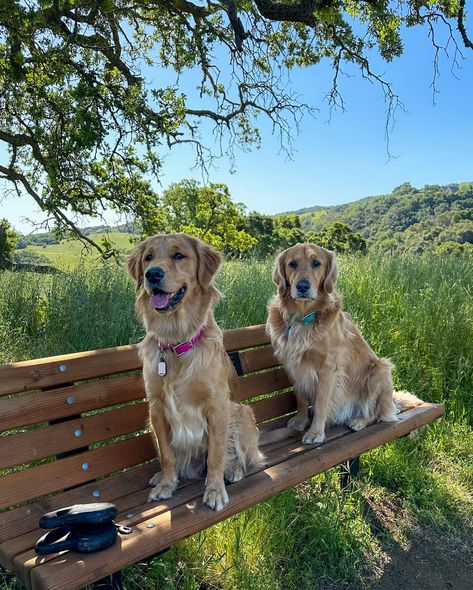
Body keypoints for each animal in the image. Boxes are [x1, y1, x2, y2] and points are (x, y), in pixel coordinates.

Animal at [127, 234, 272, 512]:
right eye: (148, 257)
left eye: (178, 255)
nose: (152, 274)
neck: (176, 343)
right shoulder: (156, 408)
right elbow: (167, 456)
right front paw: (167, 484)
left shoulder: (217, 406)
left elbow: (216, 455)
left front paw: (214, 490)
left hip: (242, 413)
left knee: (239, 456)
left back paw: (233, 471)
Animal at [266, 244, 420, 444]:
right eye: (292, 264)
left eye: (316, 263)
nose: (302, 286)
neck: (302, 318)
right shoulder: (294, 366)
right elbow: (301, 399)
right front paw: (300, 422)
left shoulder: (327, 369)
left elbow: (321, 403)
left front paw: (315, 432)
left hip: (380, 369)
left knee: (376, 412)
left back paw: (359, 420)